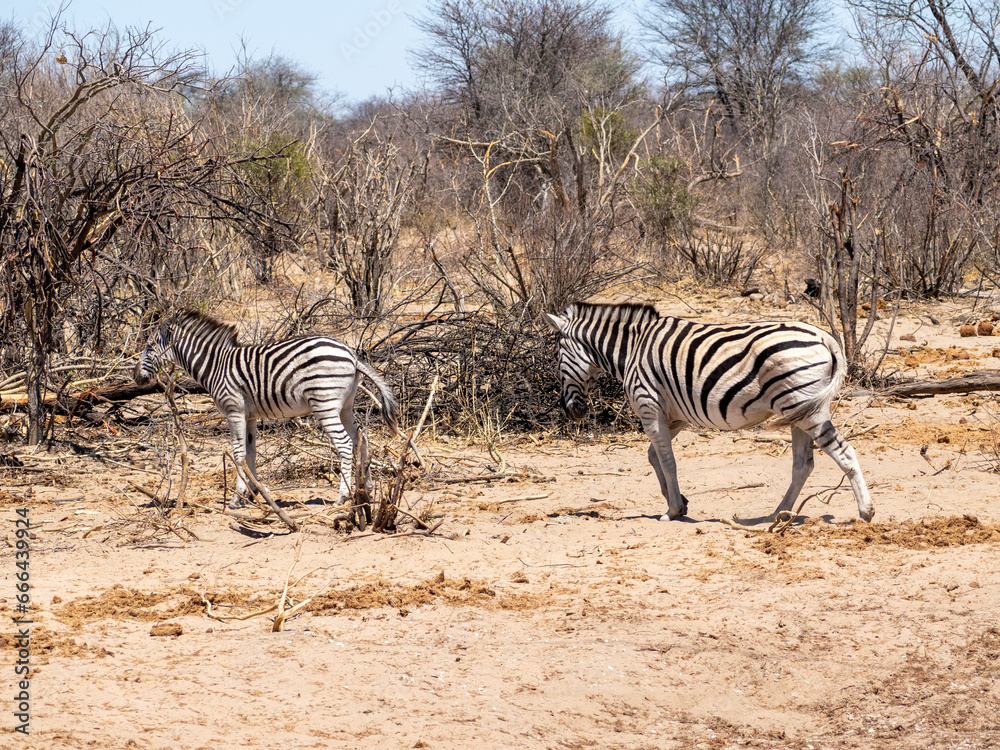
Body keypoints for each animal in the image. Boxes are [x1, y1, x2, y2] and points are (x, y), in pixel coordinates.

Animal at [134, 309, 399, 508]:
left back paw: (342, 496)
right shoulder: (250, 416)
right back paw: (368, 488)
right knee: (361, 437)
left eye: (149, 346)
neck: (216, 366)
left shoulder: (234, 411)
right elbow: (251, 452)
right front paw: (253, 494)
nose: (135, 377)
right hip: (345, 406)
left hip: (324, 403)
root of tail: (352, 355)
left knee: (344, 443)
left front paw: (237, 498)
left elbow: (238, 453)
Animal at [543, 301, 874, 522]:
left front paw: (673, 510)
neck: (633, 348)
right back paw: (779, 513)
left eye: (557, 357)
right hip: (799, 409)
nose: (573, 411)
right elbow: (654, 457)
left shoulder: (648, 405)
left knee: (844, 453)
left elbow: (667, 461)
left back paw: (865, 512)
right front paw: (679, 502)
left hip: (804, 409)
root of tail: (825, 337)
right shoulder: (674, 415)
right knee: (803, 464)